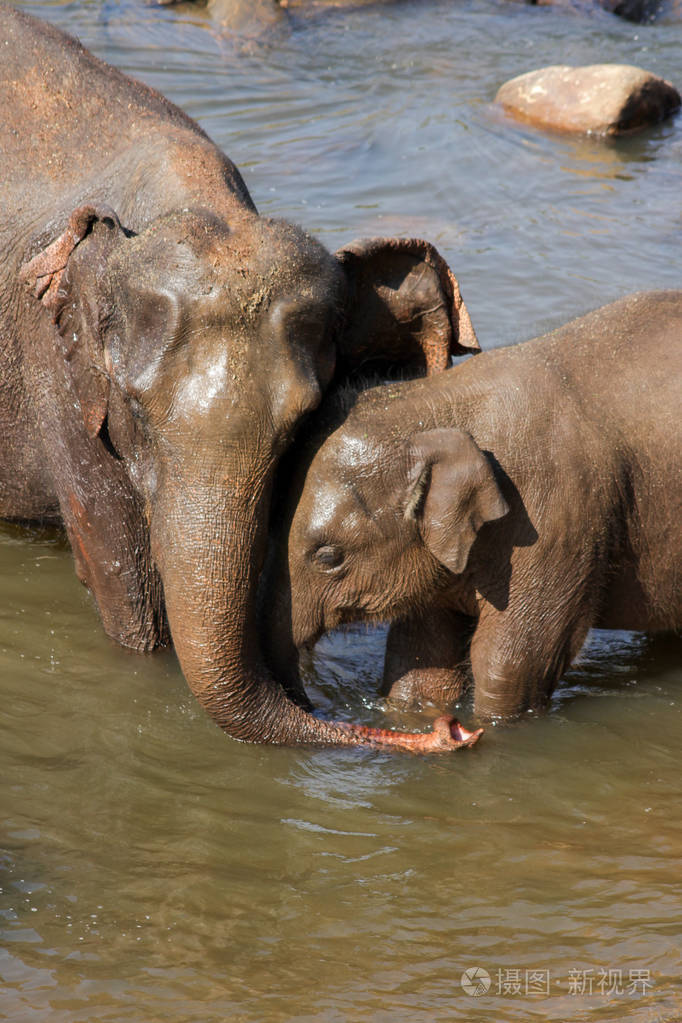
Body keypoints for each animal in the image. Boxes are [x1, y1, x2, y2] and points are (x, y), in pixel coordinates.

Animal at [265, 291, 682, 722]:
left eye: (329, 557)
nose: (315, 706)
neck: (441, 401)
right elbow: (421, 658)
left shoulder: (560, 521)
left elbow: (509, 666)